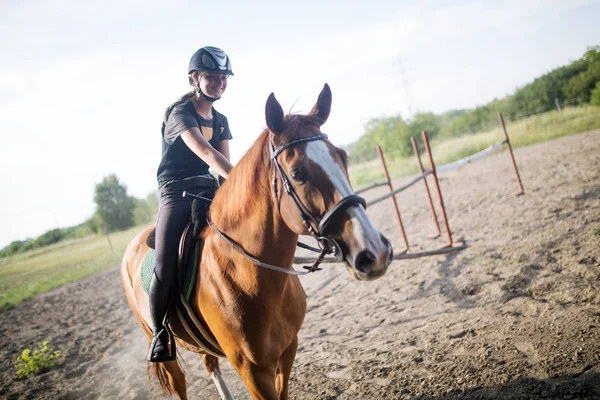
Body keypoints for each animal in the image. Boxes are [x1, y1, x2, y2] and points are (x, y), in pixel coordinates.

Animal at [120, 83, 394, 398]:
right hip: (163, 349)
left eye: (343, 157)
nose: (374, 252)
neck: (247, 273)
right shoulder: (252, 371)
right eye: (298, 173)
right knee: (179, 383)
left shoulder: (287, 351)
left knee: (210, 364)